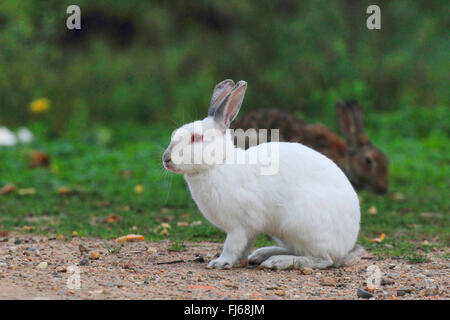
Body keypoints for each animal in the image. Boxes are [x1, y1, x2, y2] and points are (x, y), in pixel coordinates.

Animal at [163, 79, 364, 268]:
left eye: (196, 138)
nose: (166, 158)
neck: (219, 163)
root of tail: (345, 246)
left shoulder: (239, 227)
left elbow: (232, 246)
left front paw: (221, 262)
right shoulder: (249, 230)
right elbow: (245, 246)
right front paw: (239, 261)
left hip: (300, 225)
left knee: (322, 259)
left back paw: (277, 262)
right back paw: (262, 254)